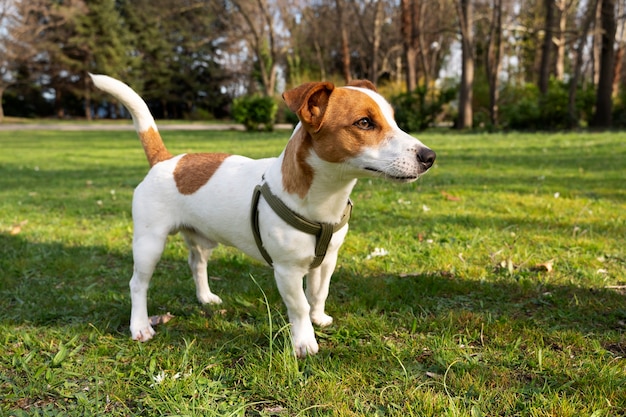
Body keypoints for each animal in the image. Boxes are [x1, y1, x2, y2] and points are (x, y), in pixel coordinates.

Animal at [91, 73, 434, 356]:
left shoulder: (327, 261)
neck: (326, 198)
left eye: (394, 120)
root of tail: (165, 160)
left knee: (196, 264)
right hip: (149, 243)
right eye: (364, 123)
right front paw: (304, 342)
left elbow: (318, 293)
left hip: (201, 239)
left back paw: (206, 297)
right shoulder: (287, 270)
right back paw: (140, 326)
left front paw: (318, 318)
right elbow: (298, 306)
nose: (430, 156)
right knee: (138, 284)